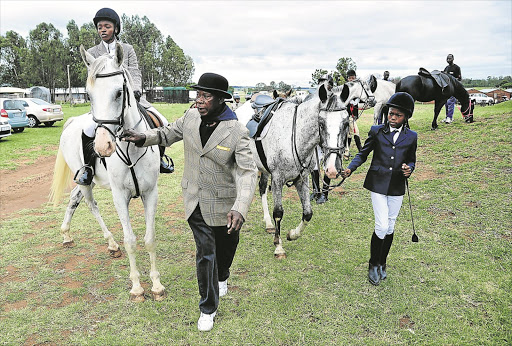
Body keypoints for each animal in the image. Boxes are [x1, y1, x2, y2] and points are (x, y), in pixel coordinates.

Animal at [50, 44, 164, 302]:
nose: (103, 147)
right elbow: (131, 241)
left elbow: (150, 239)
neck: (131, 147)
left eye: (119, 93)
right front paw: (137, 288)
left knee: (74, 199)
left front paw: (156, 286)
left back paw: (67, 235)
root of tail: (72, 121)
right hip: (85, 180)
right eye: (88, 95)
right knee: (90, 205)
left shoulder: (150, 192)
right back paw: (111, 243)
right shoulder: (119, 195)